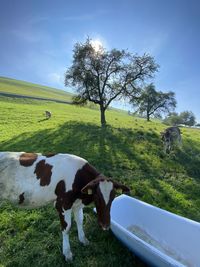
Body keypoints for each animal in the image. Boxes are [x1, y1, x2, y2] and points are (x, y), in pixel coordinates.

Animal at [0, 153, 130, 262]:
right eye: (97, 197)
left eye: (113, 197)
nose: (105, 225)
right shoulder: (62, 203)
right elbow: (66, 228)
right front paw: (67, 253)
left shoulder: (77, 204)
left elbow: (80, 221)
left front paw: (83, 240)